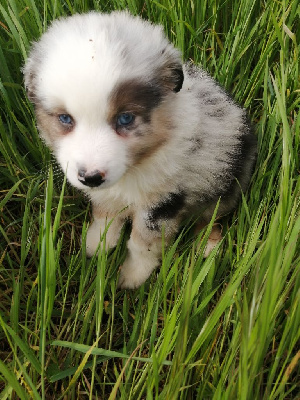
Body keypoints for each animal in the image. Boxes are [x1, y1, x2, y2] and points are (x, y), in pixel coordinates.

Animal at [24, 11, 256, 288]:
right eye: (65, 119)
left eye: (125, 119)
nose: (90, 177)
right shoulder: (107, 192)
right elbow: (104, 215)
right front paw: (96, 245)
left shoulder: (165, 199)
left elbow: (142, 243)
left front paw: (132, 277)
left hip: (228, 182)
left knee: (212, 215)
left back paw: (207, 246)